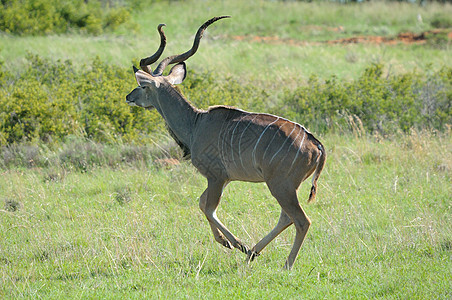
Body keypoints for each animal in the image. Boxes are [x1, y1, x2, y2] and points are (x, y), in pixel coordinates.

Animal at [125, 16, 326, 270]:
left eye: (143, 86)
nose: (128, 97)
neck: (196, 123)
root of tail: (315, 144)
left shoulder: (216, 177)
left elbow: (209, 208)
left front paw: (236, 244)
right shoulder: (224, 179)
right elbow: (202, 203)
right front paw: (233, 244)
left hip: (280, 185)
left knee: (301, 220)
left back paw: (284, 263)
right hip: (288, 187)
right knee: (286, 217)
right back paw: (254, 252)